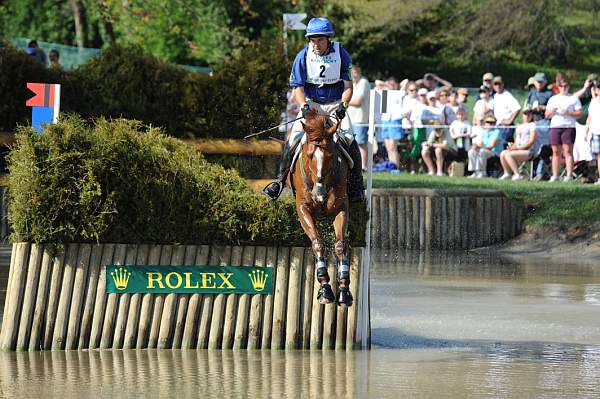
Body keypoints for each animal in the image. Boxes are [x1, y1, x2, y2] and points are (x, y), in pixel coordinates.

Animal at [290, 109, 352, 306]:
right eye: (309, 155)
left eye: (331, 155)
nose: (319, 196)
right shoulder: (303, 208)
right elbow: (318, 243)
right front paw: (325, 288)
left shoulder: (340, 208)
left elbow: (340, 245)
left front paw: (343, 289)